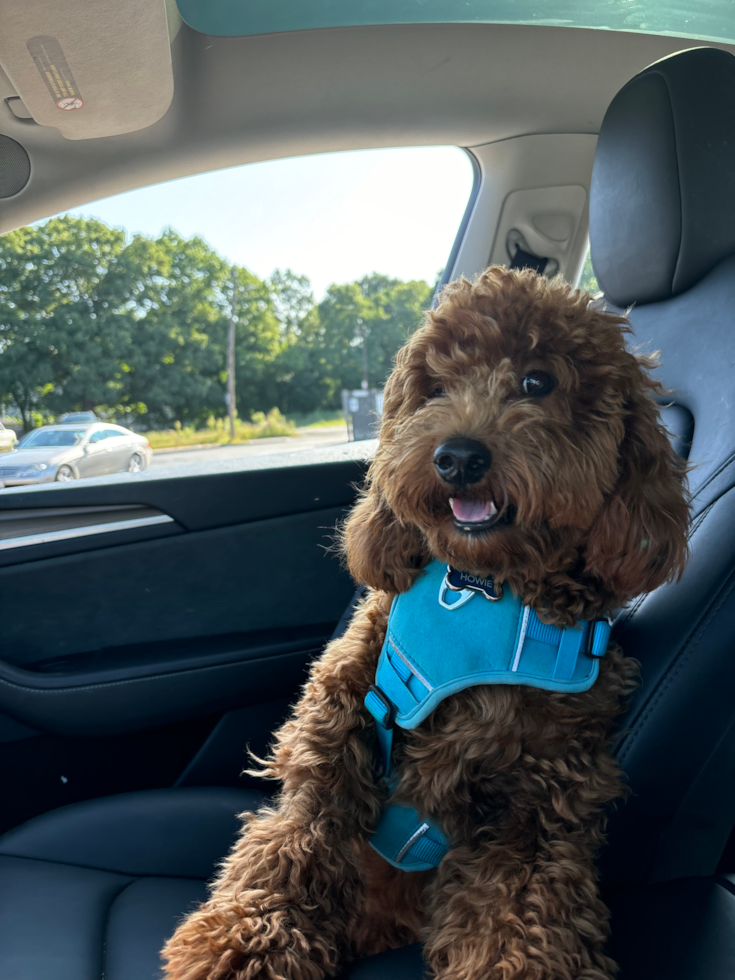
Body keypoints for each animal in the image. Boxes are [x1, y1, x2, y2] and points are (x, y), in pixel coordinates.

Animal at [164, 266, 692, 980]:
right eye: (435, 388)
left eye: (537, 382)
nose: (457, 457)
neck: (482, 592)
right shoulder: (340, 718)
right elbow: (299, 834)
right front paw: (245, 941)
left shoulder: (539, 800)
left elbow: (519, 907)